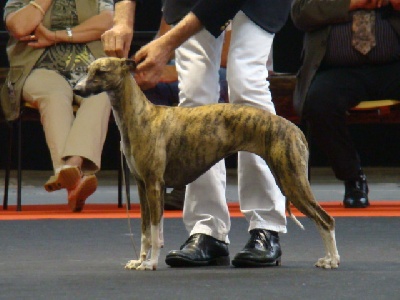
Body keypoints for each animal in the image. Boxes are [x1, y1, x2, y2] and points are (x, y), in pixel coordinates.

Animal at [73, 57, 340, 270]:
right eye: (88, 69)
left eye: (101, 72)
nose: (76, 89)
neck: (140, 117)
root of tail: (295, 128)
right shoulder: (141, 185)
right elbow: (145, 232)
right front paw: (139, 260)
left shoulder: (154, 185)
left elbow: (156, 231)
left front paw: (151, 263)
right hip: (287, 177)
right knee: (321, 220)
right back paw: (328, 258)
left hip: (291, 180)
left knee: (326, 219)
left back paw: (332, 260)